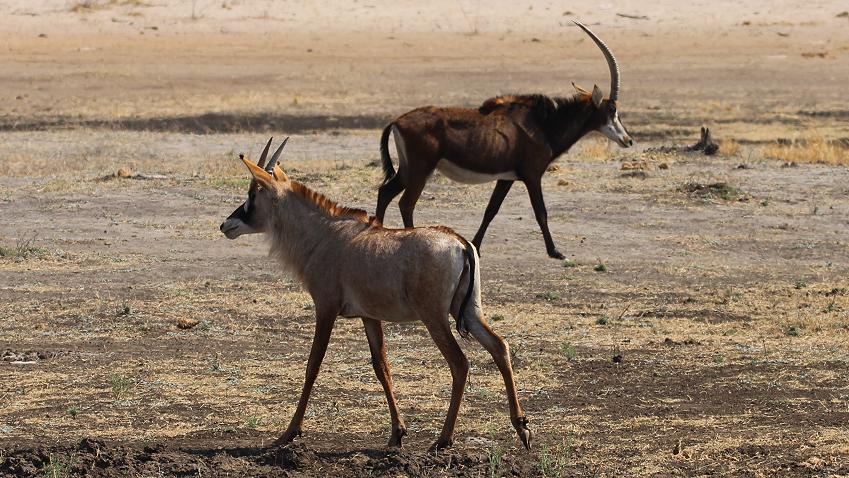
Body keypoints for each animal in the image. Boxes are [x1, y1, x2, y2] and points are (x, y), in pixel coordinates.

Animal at [219, 136, 528, 450]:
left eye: (253, 193)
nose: (225, 225)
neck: (323, 235)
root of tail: (460, 243)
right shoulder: (369, 317)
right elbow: (382, 367)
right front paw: (397, 432)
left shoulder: (326, 308)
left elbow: (313, 365)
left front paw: (290, 431)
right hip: (469, 311)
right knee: (499, 346)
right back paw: (521, 426)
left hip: (435, 317)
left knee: (460, 363)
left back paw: (443, 439)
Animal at [374, 22, 632, 260]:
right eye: (612, 110)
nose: (628, 140)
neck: (543, 124)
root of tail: (396, 121)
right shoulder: (532, 175)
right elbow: (541, 212)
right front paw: (556, 251)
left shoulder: (506, 178)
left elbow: (491, 210)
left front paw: (476, 246)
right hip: (421, 169)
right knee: (406, 203)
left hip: (408, 170)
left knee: (385, 192)